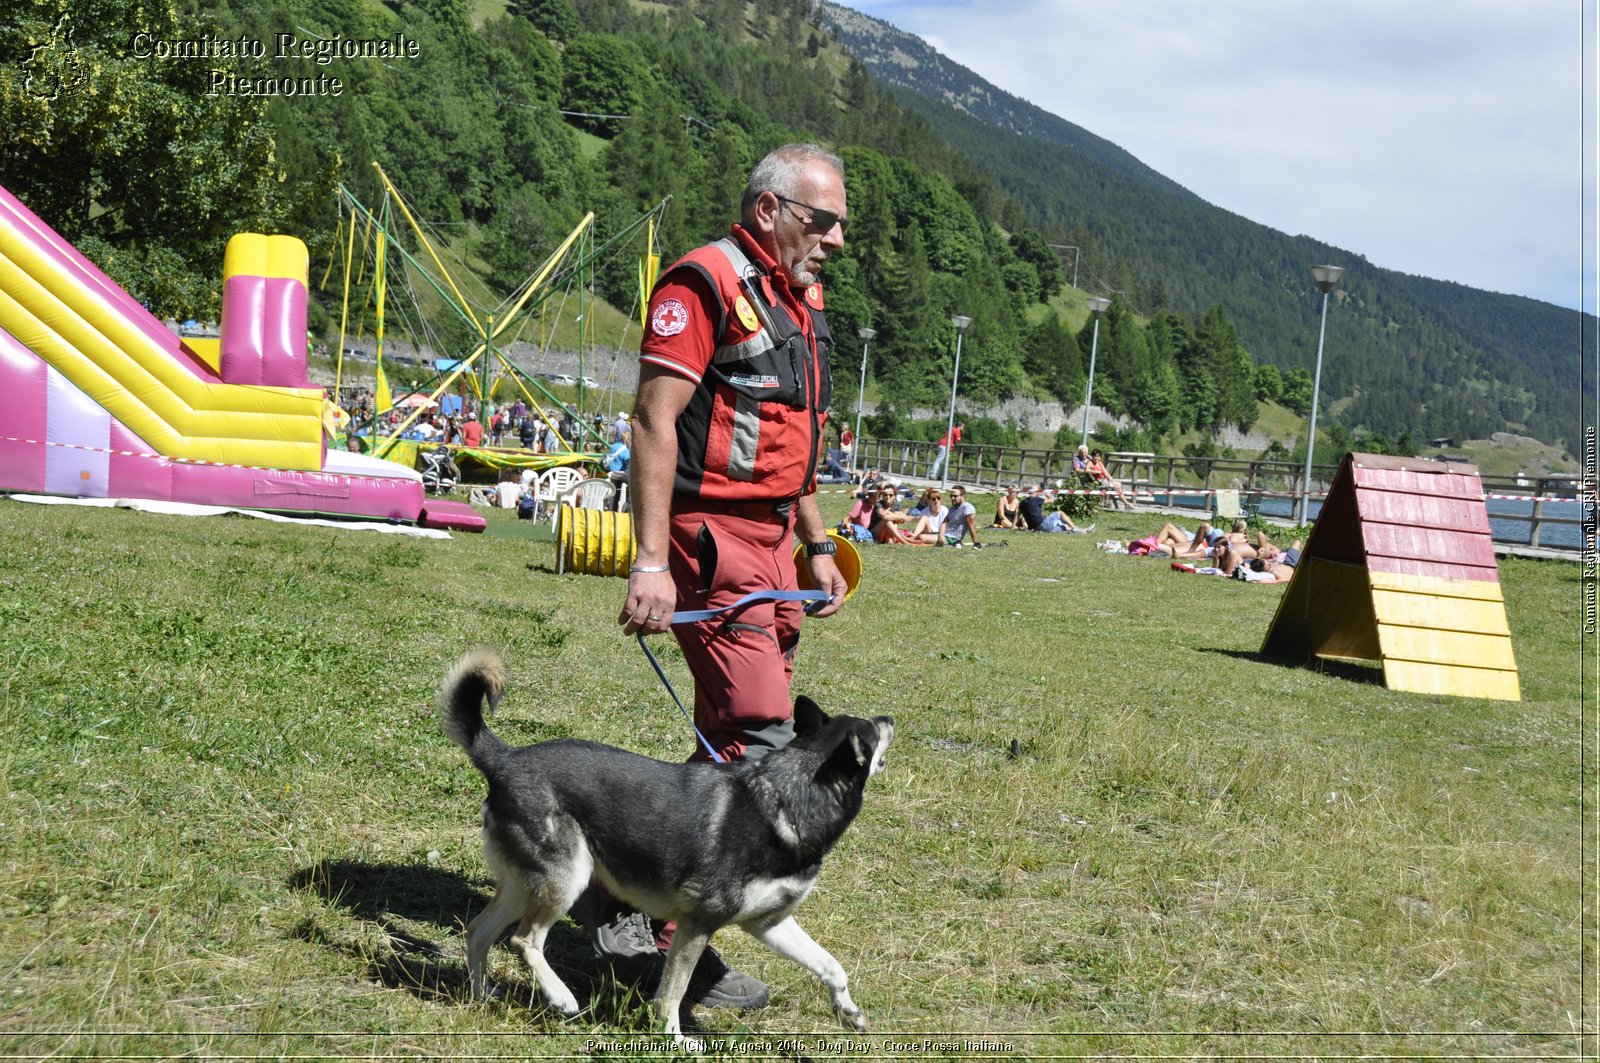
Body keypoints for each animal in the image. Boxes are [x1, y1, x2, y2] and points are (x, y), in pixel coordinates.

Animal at [438, 646, 896, 1043]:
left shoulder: (769, 923)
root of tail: (505, 758)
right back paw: (560, 996)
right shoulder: (697, 925)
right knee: (524, 941)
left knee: (478, 932)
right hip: (566, 880)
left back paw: (481, 996)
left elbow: (831, 965)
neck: (790, 799)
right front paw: (673, 1040)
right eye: (875, 731)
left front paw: (848, 1012)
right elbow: (673, 993)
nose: (891, 717)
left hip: (524, 886)